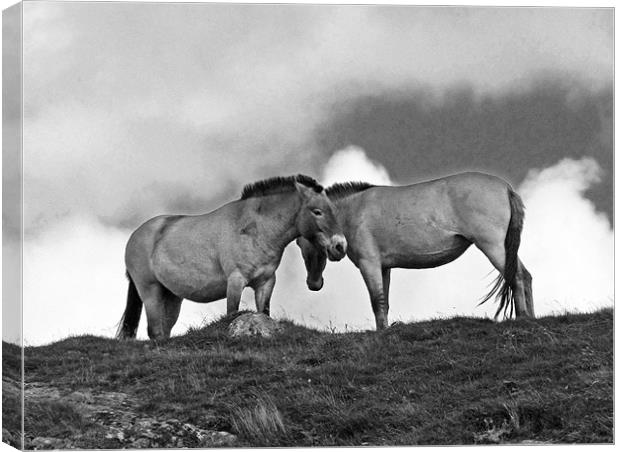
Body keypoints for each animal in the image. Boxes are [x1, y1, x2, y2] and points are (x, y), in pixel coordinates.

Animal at [115, 175, 348, 340]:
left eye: (333, 210)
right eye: (317, 211)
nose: (340, 246)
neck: (255, 229)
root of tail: (135, 236)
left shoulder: (265, 283)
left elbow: (264, 312)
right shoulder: (236, 280)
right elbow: (232, 312)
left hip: (171, 295)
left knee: (164, 330)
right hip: (150, 290)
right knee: (154, 330)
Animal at [296, 171, 532, 330]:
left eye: (300, 242)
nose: (313, 284)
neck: (354, 211)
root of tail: (506, 188)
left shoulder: (368, 263)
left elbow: (376, 301)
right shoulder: (383, 267)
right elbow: (384, 301)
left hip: (492, 245)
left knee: (517, 276)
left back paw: (522, 318)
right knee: (526, 276)